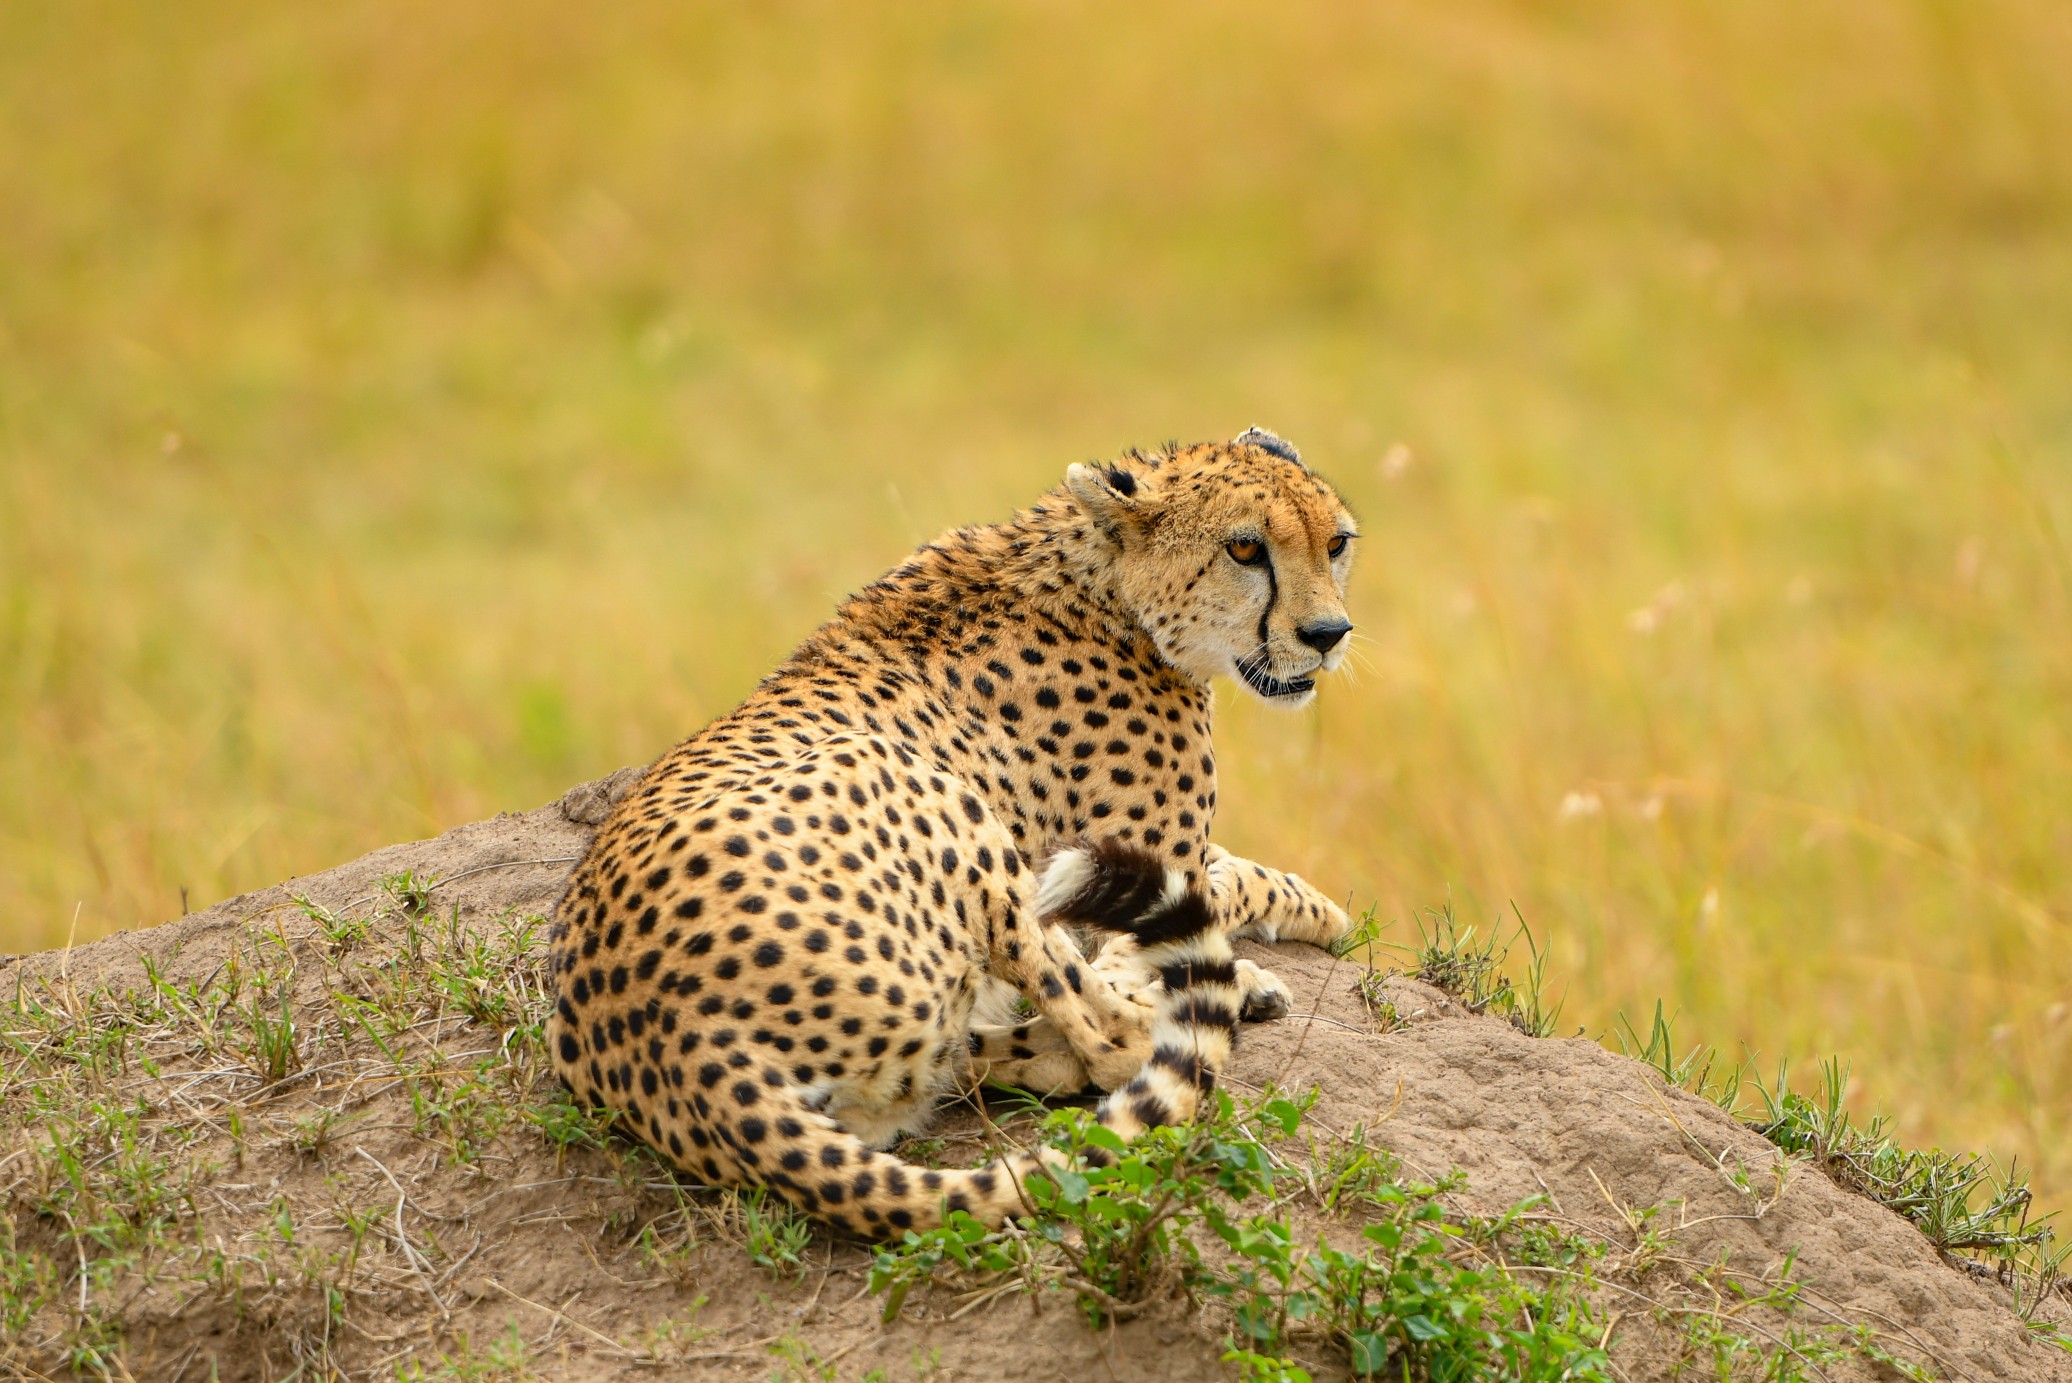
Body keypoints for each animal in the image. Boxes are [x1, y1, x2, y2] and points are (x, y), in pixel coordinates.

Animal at [546, 427, 1359, 1239]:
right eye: (1245, 549)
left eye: (1336, 543)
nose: (1328, 635)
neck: (1102, 584)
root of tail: (674, 1046)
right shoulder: (1133, 865)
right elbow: (1205, 892)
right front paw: (1306, 923)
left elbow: (1229, 872)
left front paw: (1309, 910)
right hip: (921, 783)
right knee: (1114, 1046)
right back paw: (1213, 995)